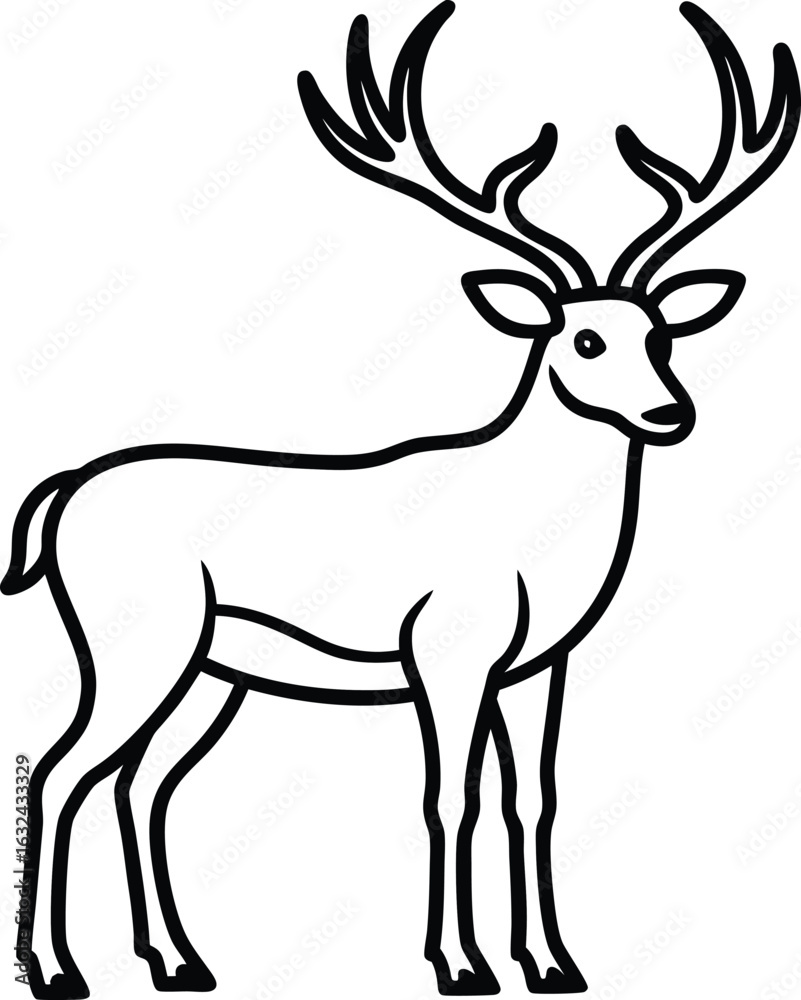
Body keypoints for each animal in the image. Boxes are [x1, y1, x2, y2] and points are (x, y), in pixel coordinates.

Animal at [5, 2, 798, 997]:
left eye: (657, 332)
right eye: (582, 339)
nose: (669, 413)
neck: (534, 534)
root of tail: (62, 494)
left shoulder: (538, 665)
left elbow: (532, 799)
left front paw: (553, 964)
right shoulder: (446, 649)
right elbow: (449, 796)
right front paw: (460, 965)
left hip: (212, 669)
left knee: (139, 782)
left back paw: (180, 961)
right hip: (135, 642)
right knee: (60, 770)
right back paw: (57, 969)